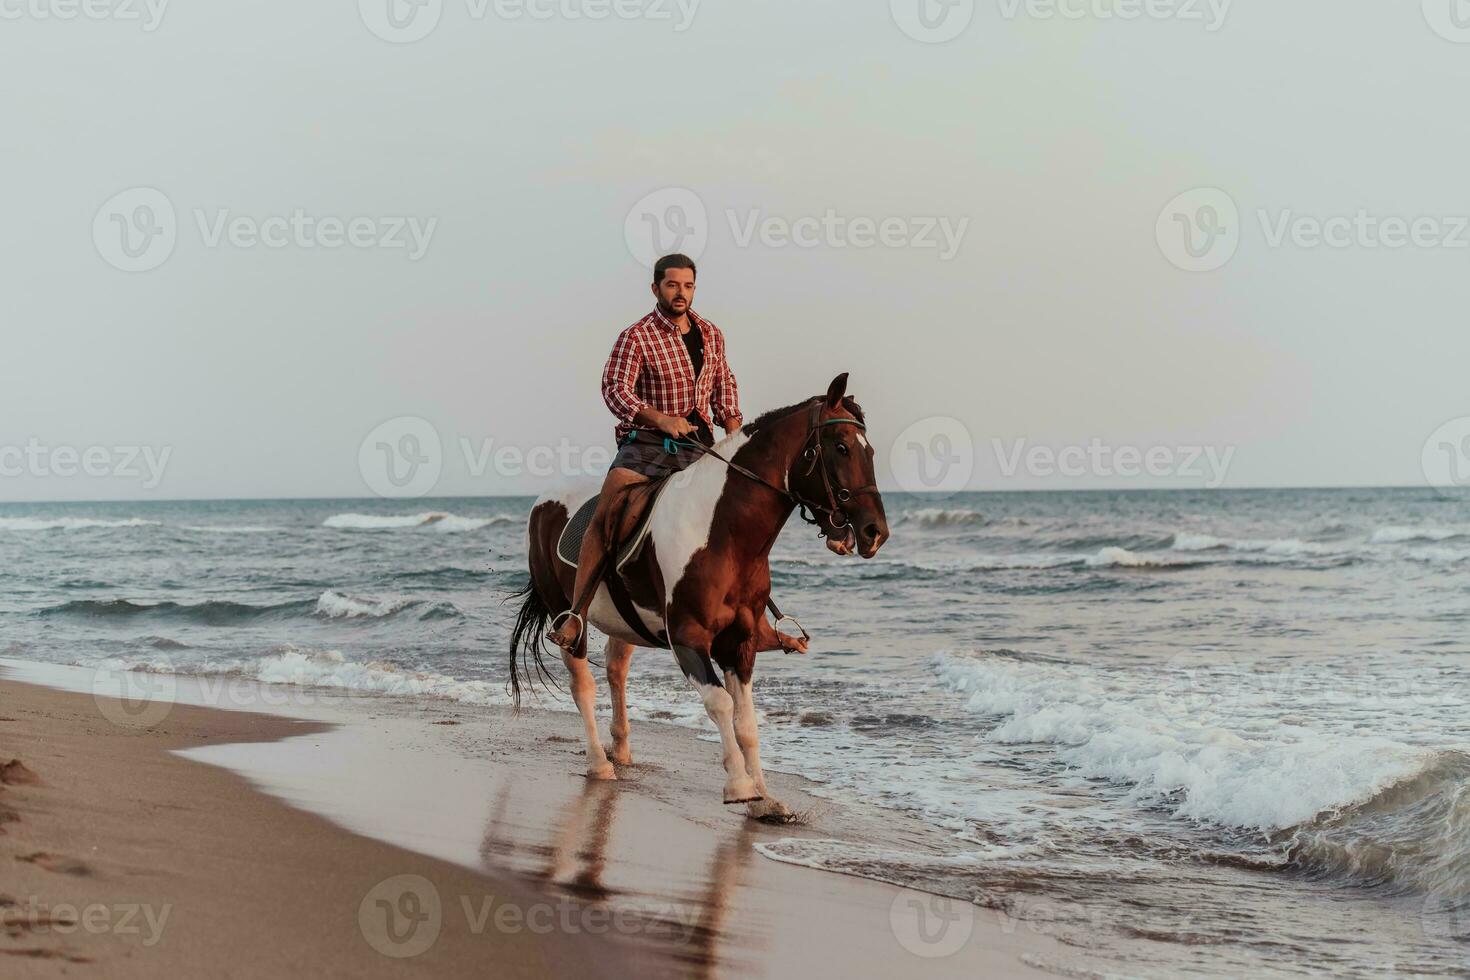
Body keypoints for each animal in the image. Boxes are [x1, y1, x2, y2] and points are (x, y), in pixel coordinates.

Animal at [511, 376, 887, 822]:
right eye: (841, 447)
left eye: (870, 451)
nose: (874, 532)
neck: (723, 532)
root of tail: (544, 501)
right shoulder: (688, 639)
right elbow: (720, 704)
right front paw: (739, 786)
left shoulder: (740, 644)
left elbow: (747, 722)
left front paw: (765, 799)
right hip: (568, 617)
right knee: (582, 683)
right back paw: (599, 764)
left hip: (623, 622)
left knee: (616, 669)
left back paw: (621, 749)